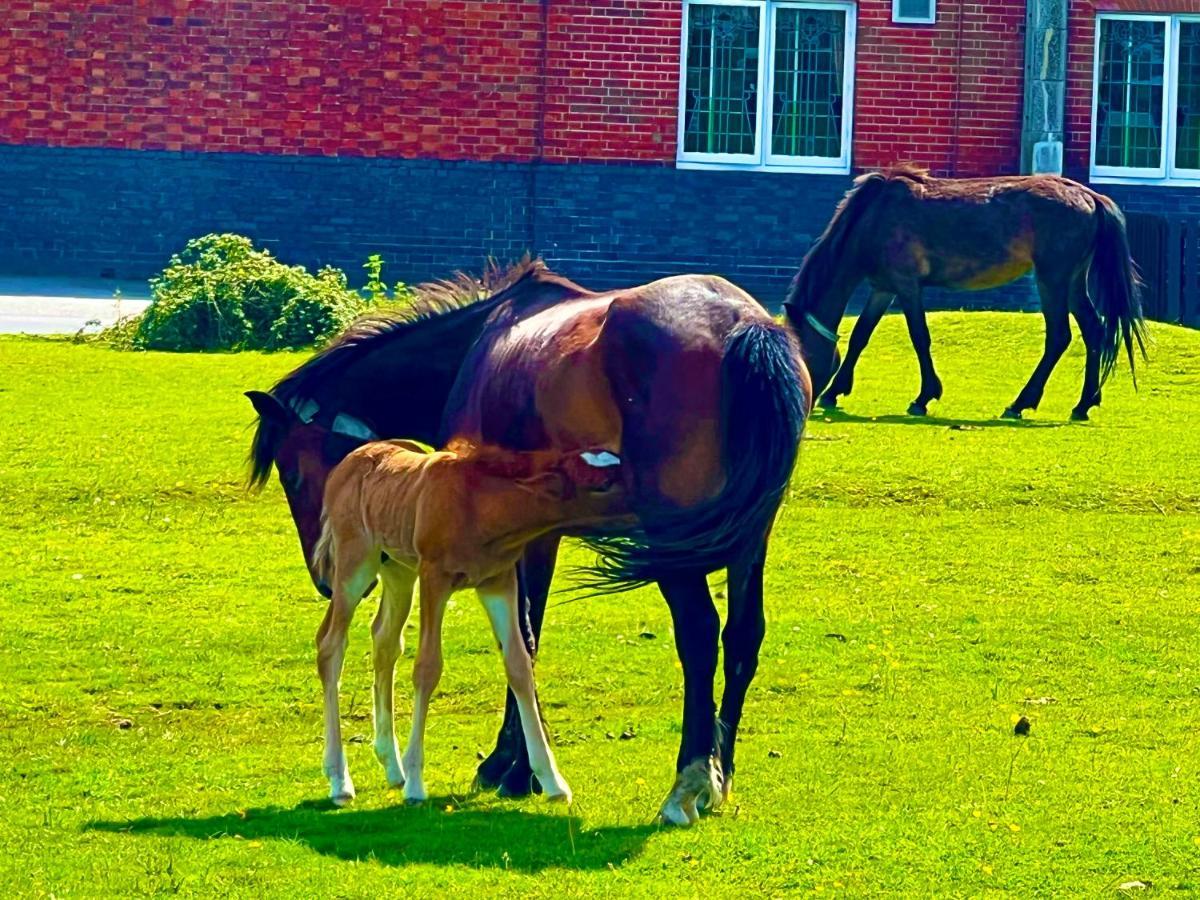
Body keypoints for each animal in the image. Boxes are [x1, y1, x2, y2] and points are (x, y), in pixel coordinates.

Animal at [314, 441, 624, 806]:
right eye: (601, 484)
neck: (479, 503)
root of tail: (346, 464)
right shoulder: (434, 577)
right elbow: (427, 667)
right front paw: (416, 785)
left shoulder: (498, 581)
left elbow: (519, 665)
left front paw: (552, 782)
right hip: (356, 563)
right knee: (331, 644)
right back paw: (340, 780)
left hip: (398, 570)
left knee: (385, 640)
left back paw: (392, 766)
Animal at [782, 165, 1147, 422]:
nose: (802, 399)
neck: (873, 219)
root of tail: (1089, 196)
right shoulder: (883, 288)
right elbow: (861, 335)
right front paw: (836, 391)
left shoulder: (907, 286)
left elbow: (919, 337)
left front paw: (924, 396)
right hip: (1072, 283)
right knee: (1094, 332)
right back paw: (1084, 403)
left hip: (1052, 280)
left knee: (1059, 337)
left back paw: (1021, 403)